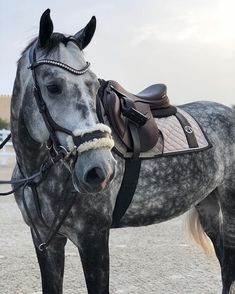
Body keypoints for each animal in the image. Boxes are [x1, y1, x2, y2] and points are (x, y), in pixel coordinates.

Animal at [10, 8, 235, 294]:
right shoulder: (45, 241)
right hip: (208, 203)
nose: (99, 170)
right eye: (53, 87)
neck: (39, 174)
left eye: (94, 85)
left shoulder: (92, 238)